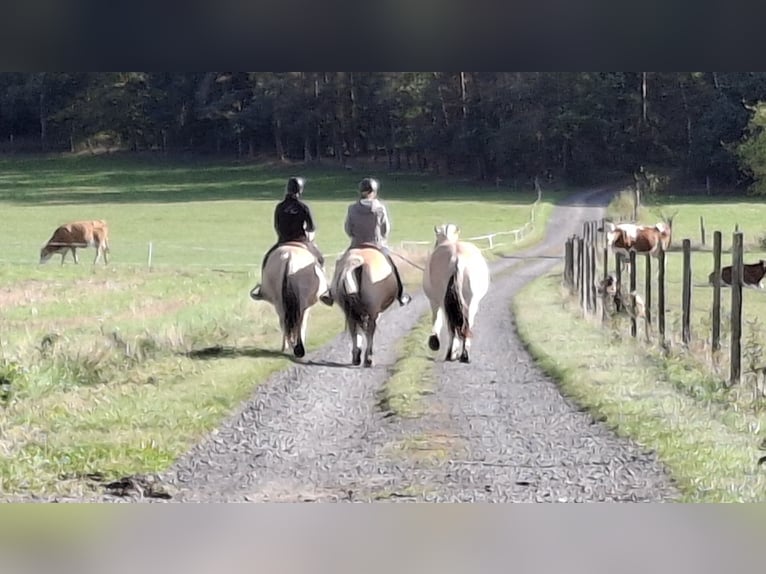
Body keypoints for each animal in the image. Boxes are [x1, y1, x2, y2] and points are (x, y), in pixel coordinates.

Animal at [423, 223, 490, 364]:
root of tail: (457, 257)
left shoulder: (434, 302)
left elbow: (436, 319)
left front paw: (435, 342)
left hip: (444, 303)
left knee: (451, 326)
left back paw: (451, 353)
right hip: (471, 302)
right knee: (466, 324)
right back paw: (464, 354)